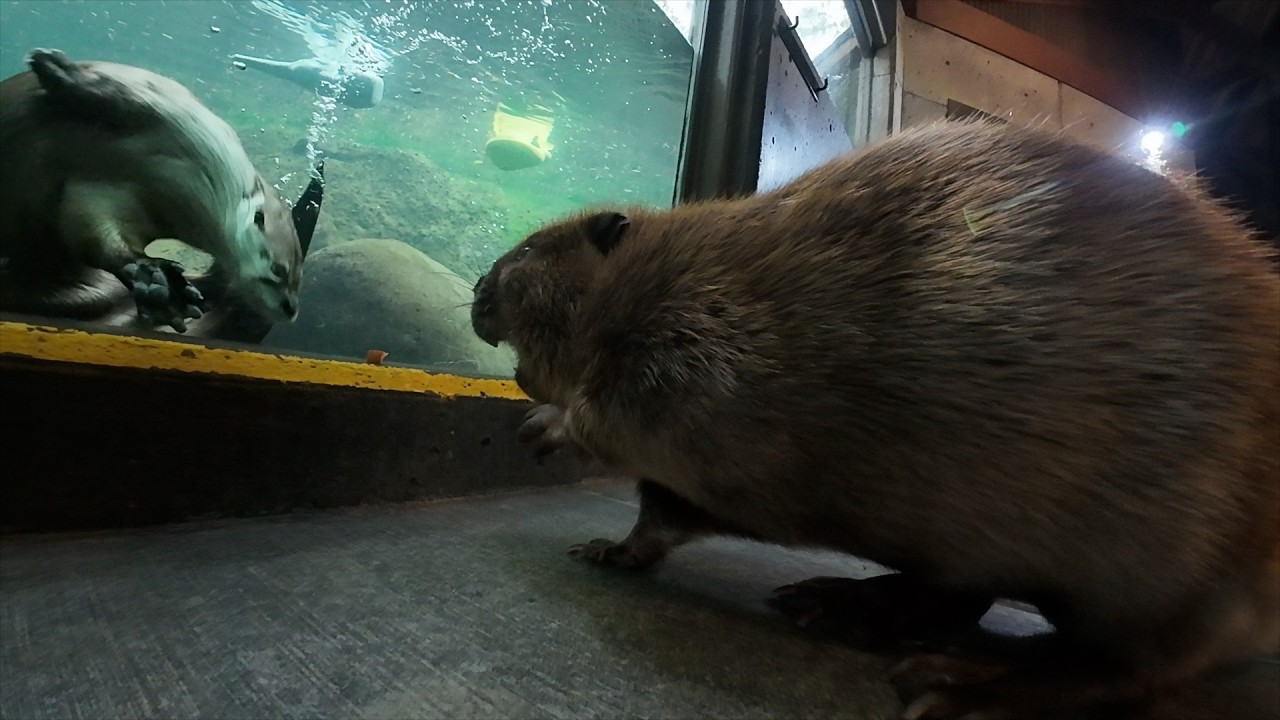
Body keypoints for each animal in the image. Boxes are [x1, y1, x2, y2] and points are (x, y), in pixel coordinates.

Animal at [0, 48, 313, 332]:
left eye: (298, 280)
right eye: (279, 271)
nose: (291, 309)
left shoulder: (103, 198)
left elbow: (94, 238)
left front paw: (160, 284)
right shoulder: (161, 107)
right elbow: (95, 91)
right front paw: (53, 65)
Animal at [470, 120, 1280, 719]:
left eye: (532, 248)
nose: (479, 286)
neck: (667, 265)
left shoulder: (703, 332)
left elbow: (649, 411)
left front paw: (545, 426)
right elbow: (664, 510)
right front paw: (606, 548)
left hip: (1168, 561)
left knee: (1134, 664)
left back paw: (954, 682)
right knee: (964, 595)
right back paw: (835, 603)